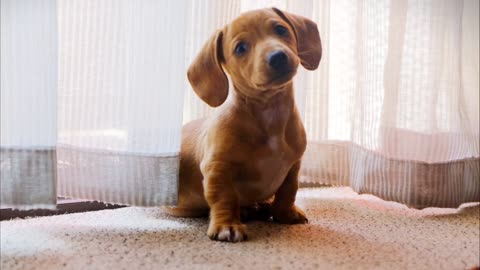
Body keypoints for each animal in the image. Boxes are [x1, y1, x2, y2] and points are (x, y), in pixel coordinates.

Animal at [167, 7, 320, 243]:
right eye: (240, 48)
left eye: (280, 29)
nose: (278, 57)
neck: (270, 113)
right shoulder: (217, 168)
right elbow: (224, 198)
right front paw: (226, 225)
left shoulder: (294, 165)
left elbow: (288, 191)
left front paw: (285, 214)